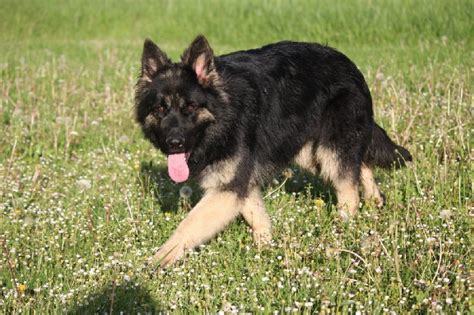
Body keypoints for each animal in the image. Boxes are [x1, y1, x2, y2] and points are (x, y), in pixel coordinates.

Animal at [133, 35, 412, 266]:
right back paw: (375, 200)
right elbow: (256, 215)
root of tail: (350, 64)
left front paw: (157, 261)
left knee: (349, 190)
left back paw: (342, 230)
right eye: (160, 109)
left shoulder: (228, 187)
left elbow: (188, 225)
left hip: (329, 150)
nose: (174, 143)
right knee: (360, 164)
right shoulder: (239, 181)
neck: (225, 112)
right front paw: (266, 249)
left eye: (190, 107)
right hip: (309, 152)